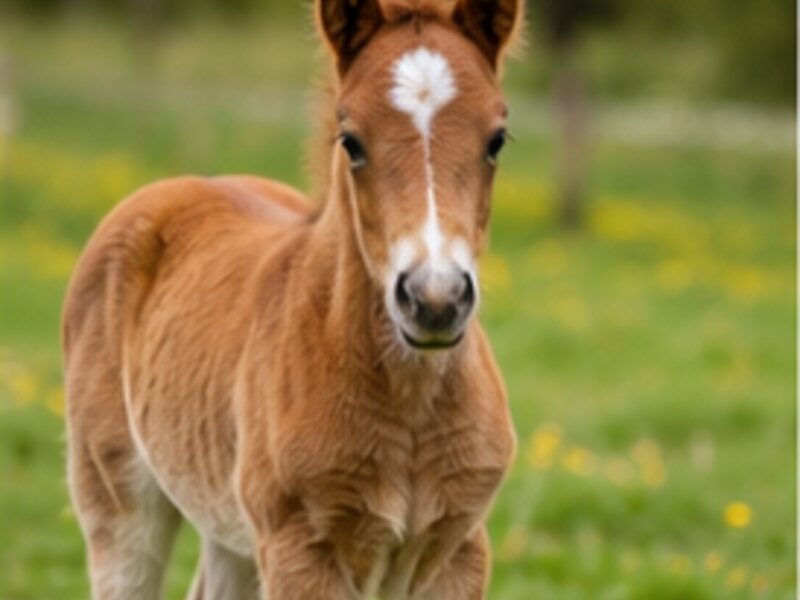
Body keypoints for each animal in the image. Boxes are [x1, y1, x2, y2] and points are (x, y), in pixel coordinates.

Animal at [62, 0, 521, 597]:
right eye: (350, 141)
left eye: (497, 139)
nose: (434, 298)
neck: (411, 401)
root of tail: (180, 185)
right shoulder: (298, 548)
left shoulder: (460, 548)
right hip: (117, 501)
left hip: (229, 526)